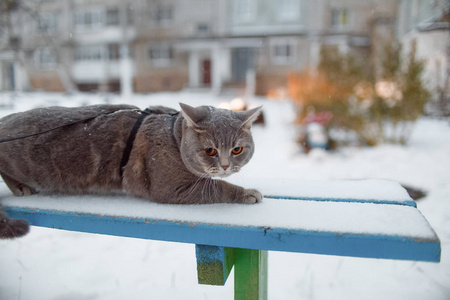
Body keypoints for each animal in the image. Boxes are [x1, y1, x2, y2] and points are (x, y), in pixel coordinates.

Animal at [0, 103, 260, 239]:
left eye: (237, 149)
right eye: (209, 150)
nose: (225, 165)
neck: (173, 136)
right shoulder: (172, 189)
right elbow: (218, 187)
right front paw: (247, 193)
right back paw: (21, 187)